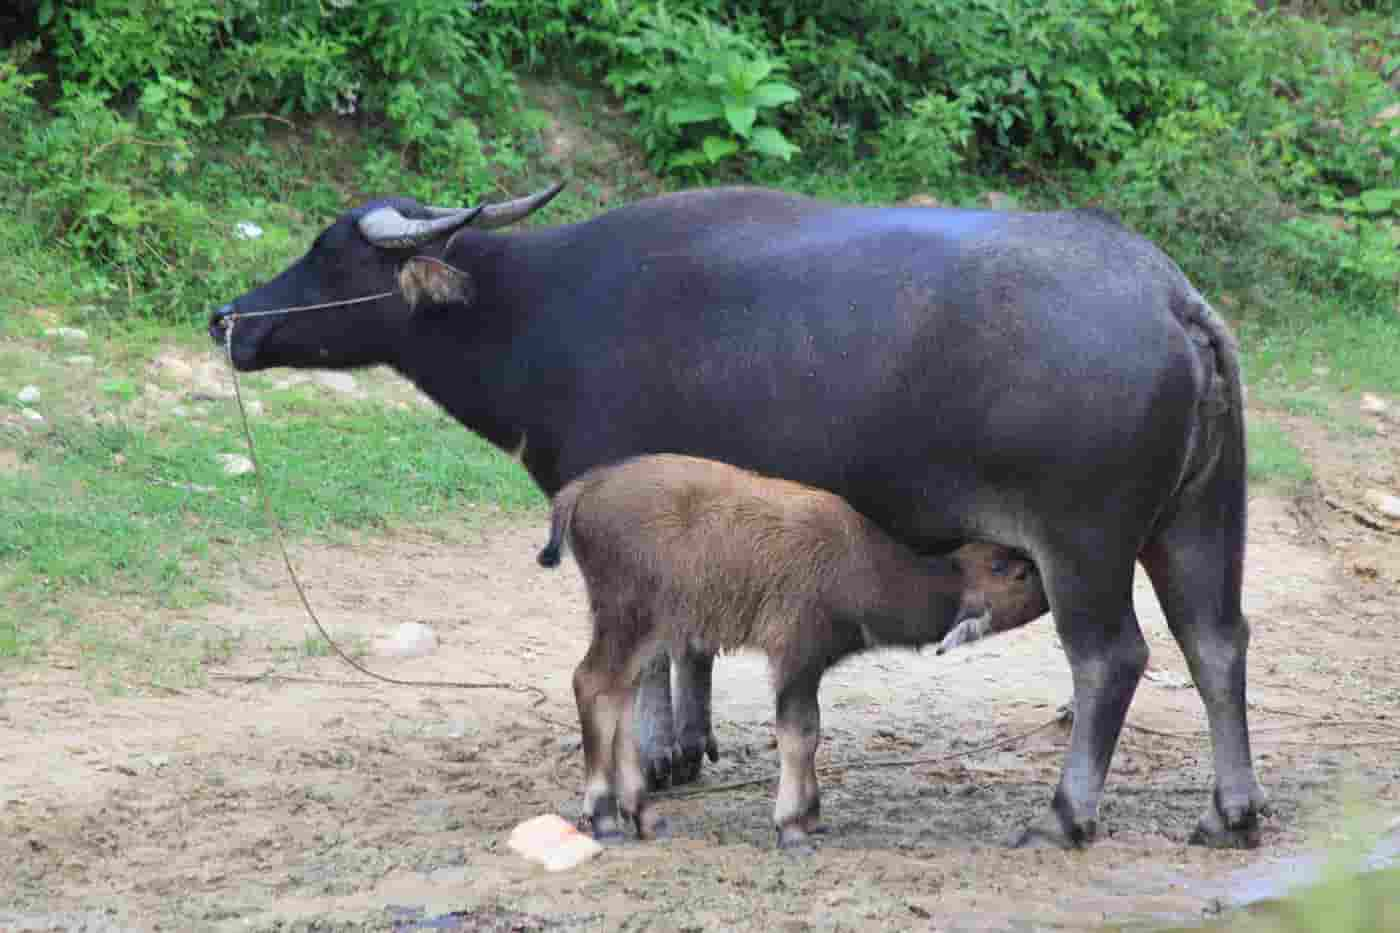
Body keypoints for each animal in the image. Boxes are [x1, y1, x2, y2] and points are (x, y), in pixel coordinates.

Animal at [207, 179, 1271, 840]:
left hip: (1082, 541)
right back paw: (1229, 811)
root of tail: (1171, 298)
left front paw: (651, 757)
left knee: (1113, 659)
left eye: (332, 260)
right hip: (1199, 521)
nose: (230, 319)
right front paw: (688, 745)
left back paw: (1063, 814)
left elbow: (652, 653)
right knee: (1217, 643)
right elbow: (692, 641)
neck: (538, 312)